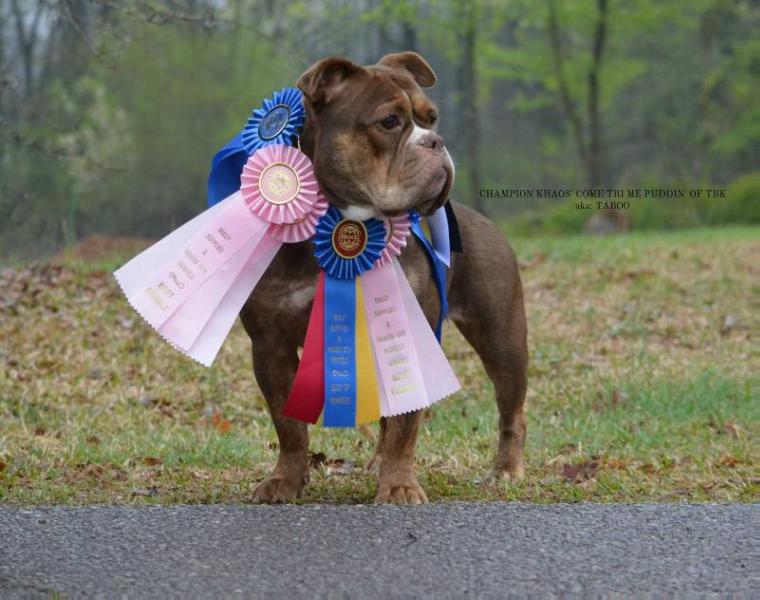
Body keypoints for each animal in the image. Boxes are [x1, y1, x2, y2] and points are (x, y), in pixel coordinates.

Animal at [240, 51, 524, 504]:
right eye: (389, 122)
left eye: (432, 118)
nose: (436, 142)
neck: (341, 221)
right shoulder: (270, 345)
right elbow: (288, 424)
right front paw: (285, 479)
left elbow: (407, 425)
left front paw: (399, 485)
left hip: (503, 339)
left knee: (511, 409)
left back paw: (507, 469)